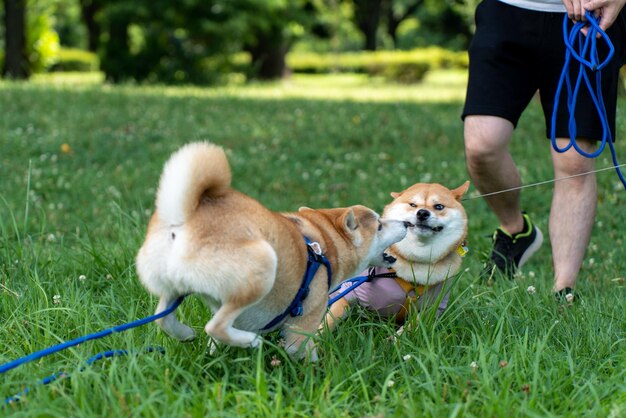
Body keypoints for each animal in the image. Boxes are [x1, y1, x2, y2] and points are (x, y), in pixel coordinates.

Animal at [136, 141, 408, 360]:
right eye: (380, 225)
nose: (406, 223)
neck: (324, 245)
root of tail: (184, 216)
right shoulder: (307, 319)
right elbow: (303, 351)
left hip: (174, 286)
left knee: (164, 316)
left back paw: (184, 333)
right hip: (263, 267)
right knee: (215, 326)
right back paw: (248, 341)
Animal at [324, 182, 466, 330]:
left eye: (439, 206)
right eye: (413, 204)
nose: (422, 213)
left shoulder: (433, 306)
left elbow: (411, 327)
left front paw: (395, 336)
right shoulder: (352, 290)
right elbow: (331, 319)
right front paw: (319, 335)